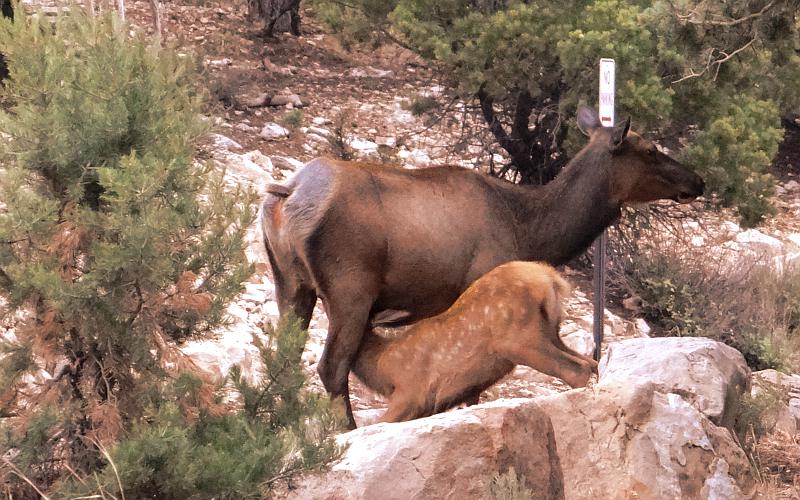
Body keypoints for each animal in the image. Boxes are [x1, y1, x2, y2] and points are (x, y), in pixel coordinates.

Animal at [354, 262, 596, 422]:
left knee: (577, 369)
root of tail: (550, 279)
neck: (383, 367)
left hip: (518, 339)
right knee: (590, 362)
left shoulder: (411, 393)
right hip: (550, 332)